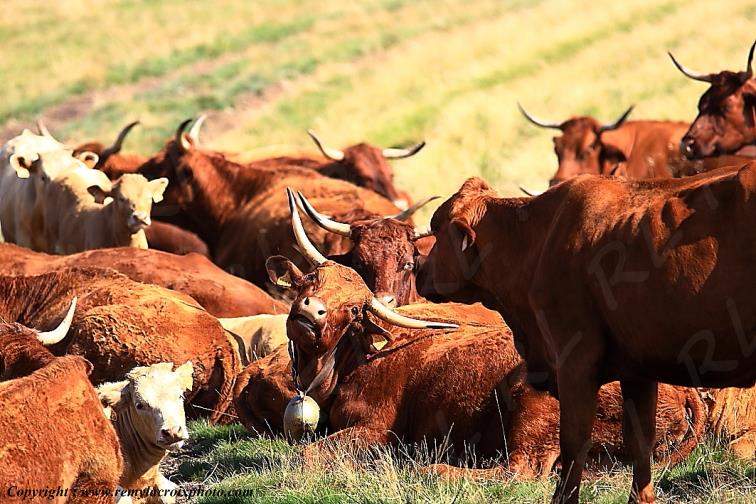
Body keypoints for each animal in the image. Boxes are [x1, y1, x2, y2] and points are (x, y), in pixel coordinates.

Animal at [233, 200, 705, 479]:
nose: (310, 311)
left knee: (520, 472)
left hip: (534, 407)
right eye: (314, 278)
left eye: (353, 309)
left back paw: (436, 469)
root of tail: (684, 393)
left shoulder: (374, 430)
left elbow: (310, 455)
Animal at [421, 169, 756, 503]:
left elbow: (574, 441)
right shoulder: (638, 370)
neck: (539, 238)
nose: (419, 269)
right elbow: (640, 440)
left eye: (436, 229)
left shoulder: (575, 360)